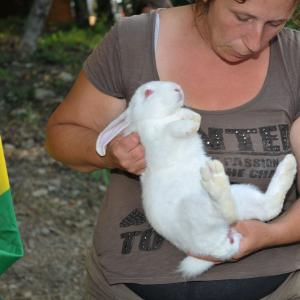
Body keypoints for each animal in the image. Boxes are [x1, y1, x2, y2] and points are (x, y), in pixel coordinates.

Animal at [95, 81, 296, 278]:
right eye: (148, 93)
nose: (178, 88)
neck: (159, 117)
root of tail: (223, 245)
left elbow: (186, 117)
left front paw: (193, 118)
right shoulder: (157, 137)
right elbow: (171, 129)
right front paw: (188, 125)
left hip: (242, 195)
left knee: (268, 209)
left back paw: (289, 165)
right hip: (194, 209)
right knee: (227, 212)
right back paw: (214, 179)